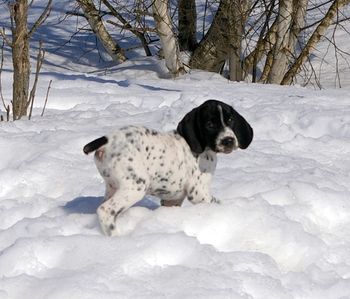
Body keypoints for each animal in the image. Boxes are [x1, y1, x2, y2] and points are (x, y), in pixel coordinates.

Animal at [85, 99, 254, 236]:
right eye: (210, 125)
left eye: (230, 120)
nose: (229, 140)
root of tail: (106, 140)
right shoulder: (198, 193)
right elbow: (216, 203)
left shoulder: (173, 199)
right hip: (135, 186)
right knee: (105, 210)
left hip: (112, 186)